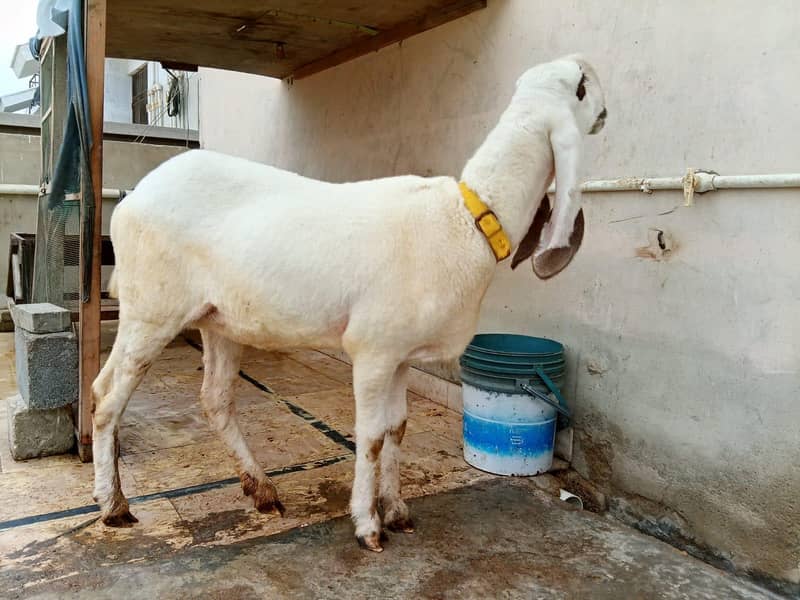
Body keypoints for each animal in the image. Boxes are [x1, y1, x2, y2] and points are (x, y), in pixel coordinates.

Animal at [92, 54, 606, 552]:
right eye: (581, 86)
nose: (604, 109)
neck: (465, 218)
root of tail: (133, 198)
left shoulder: (401, 354)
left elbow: (398, 428)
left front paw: (397, 510)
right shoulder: (373, 350)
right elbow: (372, 437)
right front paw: (368, 525)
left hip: (218, 320)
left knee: (210, 400)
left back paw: (261, 490)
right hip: (153, 308)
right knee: (106, 397)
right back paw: (113, 505)